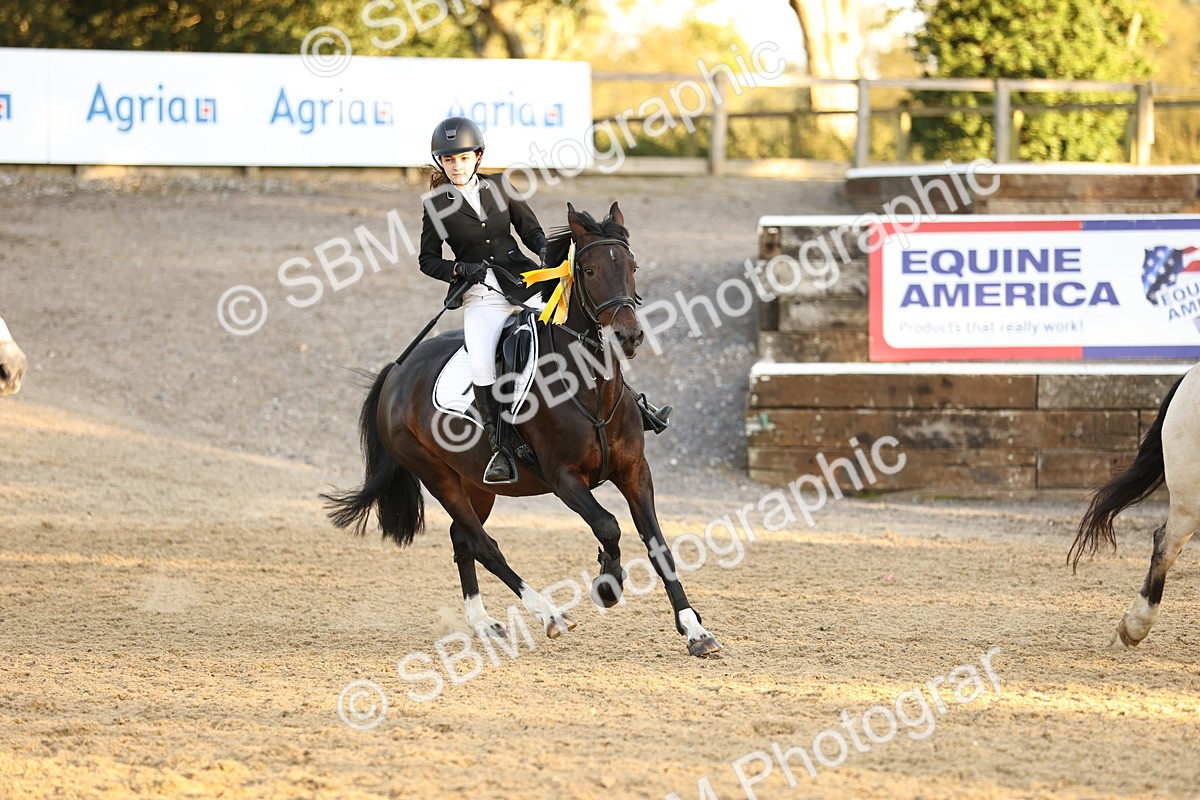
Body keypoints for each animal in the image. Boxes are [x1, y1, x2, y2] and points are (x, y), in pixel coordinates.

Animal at [324, 202, 723, 658]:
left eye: (632, 266)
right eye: (589, 271)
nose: (629, 335)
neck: (591, 388)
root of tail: (396, 371)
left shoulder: (634, 470)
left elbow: (657, 544)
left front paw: (695, 630)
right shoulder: (564, 477)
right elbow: (608, 525)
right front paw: (608, 585)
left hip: (476, 482)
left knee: (463, 537)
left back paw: (484, 624)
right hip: (437, 475)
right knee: (484, 544)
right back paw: (549, 615)